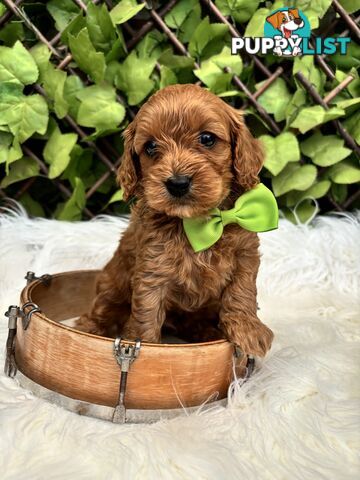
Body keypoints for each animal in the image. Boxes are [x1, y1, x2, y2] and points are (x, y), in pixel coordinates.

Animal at [76, 83, 272, 356]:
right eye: (150, 147)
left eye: (207, 139)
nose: (177, 183)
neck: (198, 223)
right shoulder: (152, 269)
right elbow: (146, 315)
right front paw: (146, 349)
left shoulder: (245, 255)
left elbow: (242, 292)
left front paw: (248, 331)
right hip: (112, 282)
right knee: (104, 307)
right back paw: (89, 328)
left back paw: (207, 332)